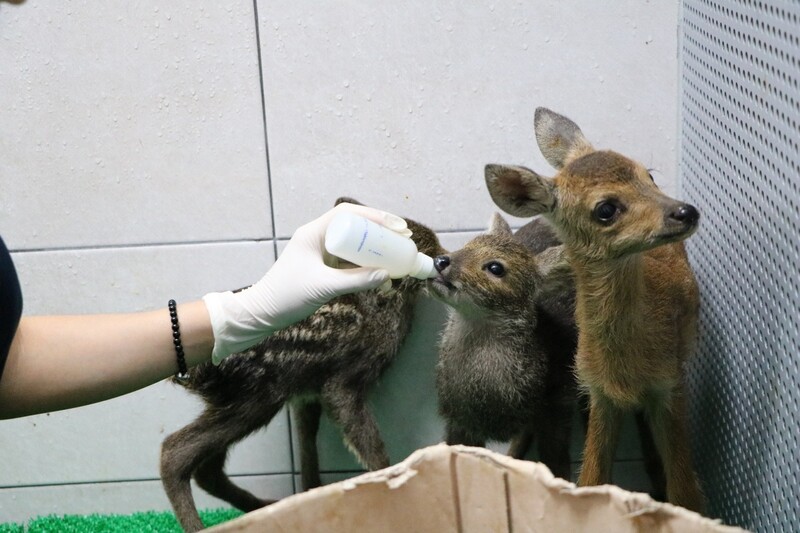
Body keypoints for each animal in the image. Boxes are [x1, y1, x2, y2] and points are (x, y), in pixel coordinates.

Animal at [161, 197, 444, 528]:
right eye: (423, 246)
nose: (445, 259)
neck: (379, 307)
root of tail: (188, 371)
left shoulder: (306, 395)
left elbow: (307, 450)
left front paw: (311, 497)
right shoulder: (343, 383)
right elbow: (369, 445)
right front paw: (394, 482)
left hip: (231, 400)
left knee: (206, 469)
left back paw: (262, 507)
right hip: (255, 397)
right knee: (174, 453)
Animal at [428, 214, 580, 480]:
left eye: (496, 268)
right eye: (467, 245)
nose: (441, 260)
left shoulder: (557, 410)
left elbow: (557, 467)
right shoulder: (459, 421)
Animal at [484, 107, 704, 512]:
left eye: (648, 175)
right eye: (605, 209)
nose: (685, 211)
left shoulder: (669, 384)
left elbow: (684, 491)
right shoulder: (597, 391)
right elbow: (591, 478)